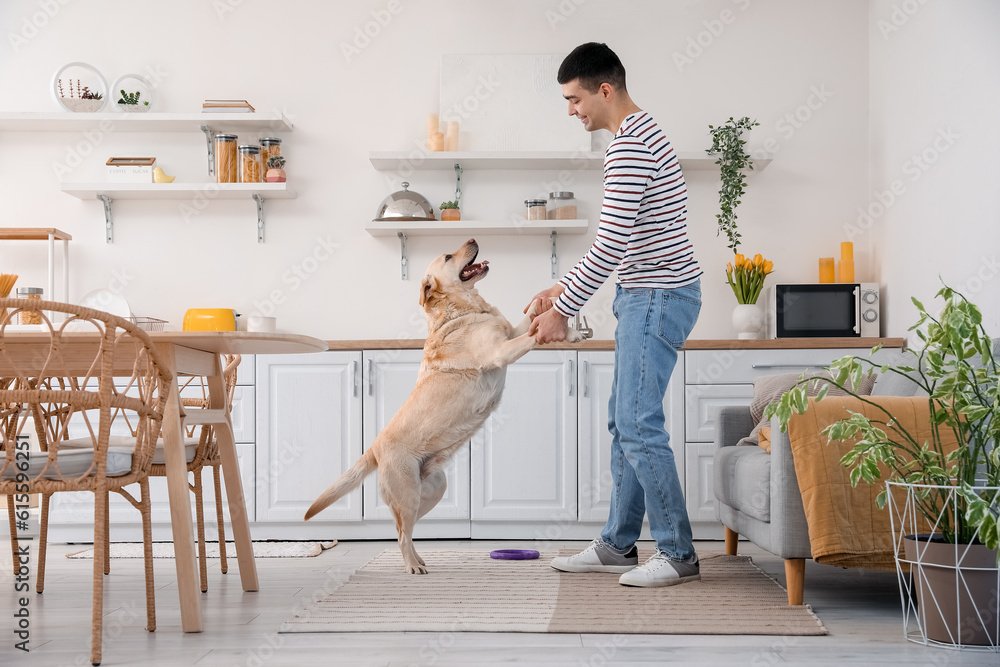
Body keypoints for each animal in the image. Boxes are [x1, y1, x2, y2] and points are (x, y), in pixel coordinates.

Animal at [308, 237, 584, 572]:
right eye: (449, 256)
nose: (474, 238)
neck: (465, 307)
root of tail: (374, 447)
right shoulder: (501, 351)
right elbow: (532, 335)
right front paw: (562, 329)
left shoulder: (508, 334)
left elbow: (526, 321)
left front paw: (558, 316)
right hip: (408, 495)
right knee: (401, 534)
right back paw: (413, 566)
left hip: (434, 490)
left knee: (403, 530)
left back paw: (419, 558)